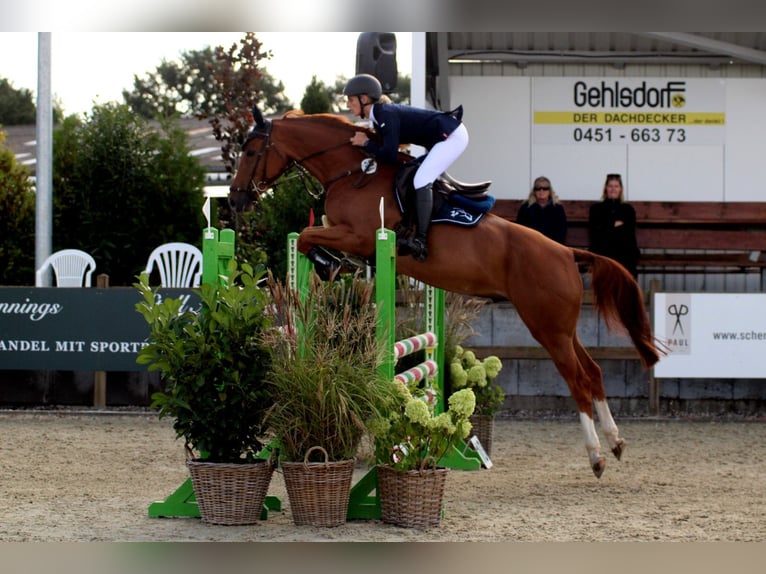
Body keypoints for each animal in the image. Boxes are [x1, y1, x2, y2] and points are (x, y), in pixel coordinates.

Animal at [226, 108, 660, 476]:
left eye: (250, 150)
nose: (234, 199)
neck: (351, 171)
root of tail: (567, 252)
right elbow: (308, 235)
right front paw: (331, 265)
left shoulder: (360, 235)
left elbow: (307, 237)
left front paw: (328, 264)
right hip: (562, 327)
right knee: (594, 371)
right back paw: (616, 442)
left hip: (546, 328)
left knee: (578, 380)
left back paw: (596, 456)